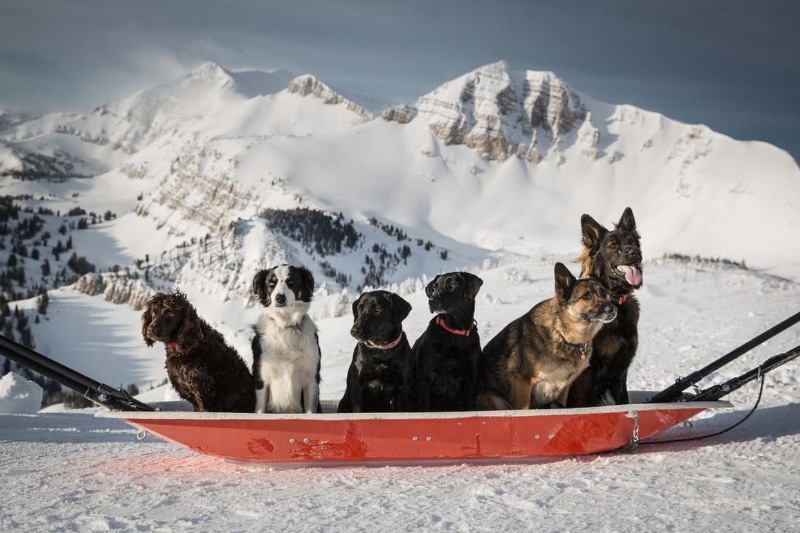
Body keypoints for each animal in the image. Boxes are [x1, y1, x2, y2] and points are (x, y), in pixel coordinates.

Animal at [478, 260, 616, 410]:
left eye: (604, 293)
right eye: (586, 296)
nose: (612, 309)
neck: (561, 334)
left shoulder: (564, 386)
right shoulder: (522, 381)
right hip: (494, 399)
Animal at [568, 208, 644, 408]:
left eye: (632, 242)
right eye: (612, 245)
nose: (635, 252)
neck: (615, 300)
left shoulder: (620, 372)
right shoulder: (587, 375)